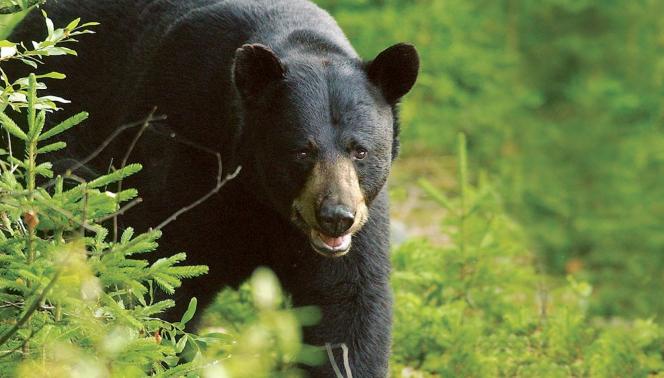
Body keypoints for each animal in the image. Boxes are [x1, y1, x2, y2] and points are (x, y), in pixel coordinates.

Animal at [7, 1, 418, 376]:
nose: (335, 217)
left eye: (360, 151)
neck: (260, 196)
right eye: (302, 150)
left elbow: (346, 303)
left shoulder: (362, 212)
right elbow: (166, 277)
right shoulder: (185, 147)